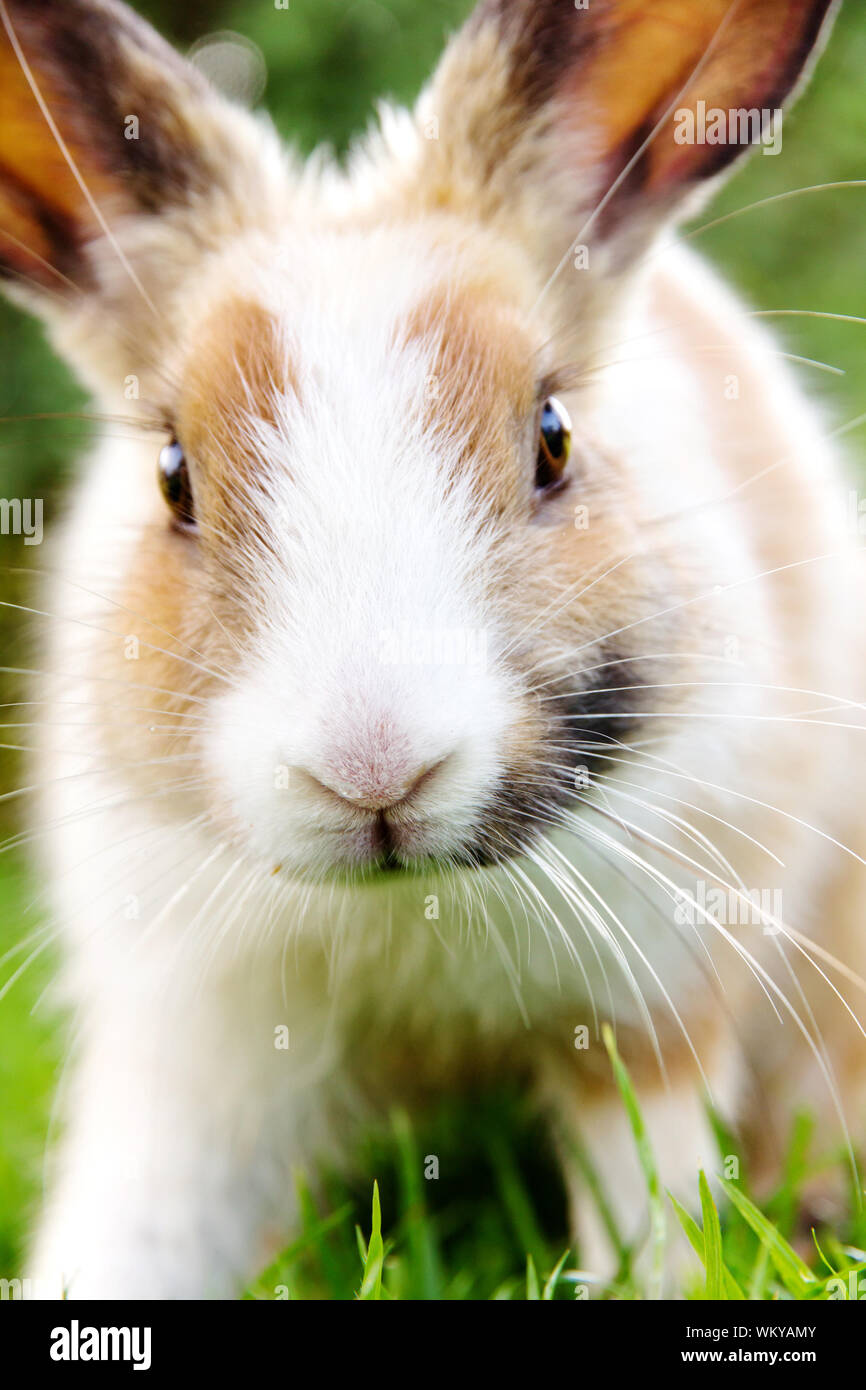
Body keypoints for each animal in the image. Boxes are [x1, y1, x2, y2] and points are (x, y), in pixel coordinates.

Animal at [0, 0, 861, 1301]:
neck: (408, 904)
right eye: (172, 478)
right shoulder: (194, 1057)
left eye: (552, 438)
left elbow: (648, 1198)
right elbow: (139, 1225)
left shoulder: (654, 1010)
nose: (373, 769)